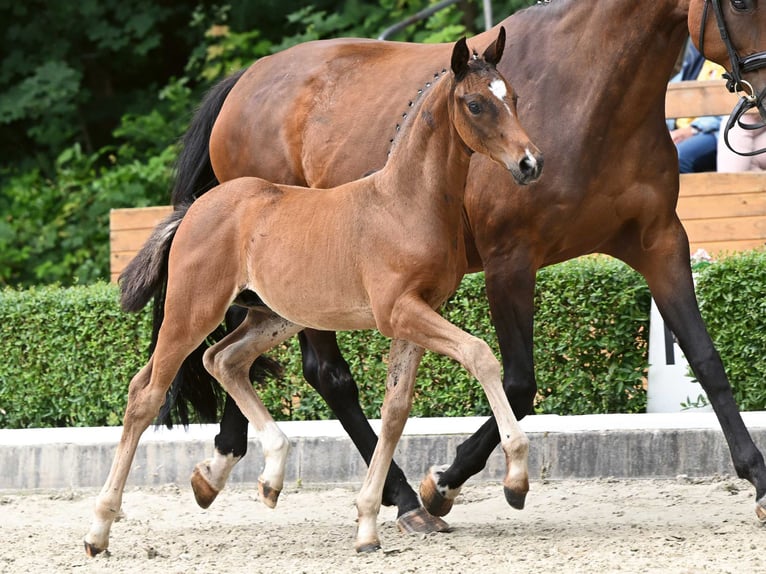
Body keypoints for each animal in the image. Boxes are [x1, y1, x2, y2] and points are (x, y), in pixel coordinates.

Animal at [85, 29, 540, 556]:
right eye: (475, 104)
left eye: (514, 97)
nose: (530, 163)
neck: (405, 201)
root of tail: (193, 209)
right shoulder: (399, 311)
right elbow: (480, 354)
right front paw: (515, 479)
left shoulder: (417, 314)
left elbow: (396, 410)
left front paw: (368, 523)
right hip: (192, 311)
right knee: (147, 393)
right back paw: (98, 530)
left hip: (274, 315)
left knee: (223, 360)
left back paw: (270, 475)